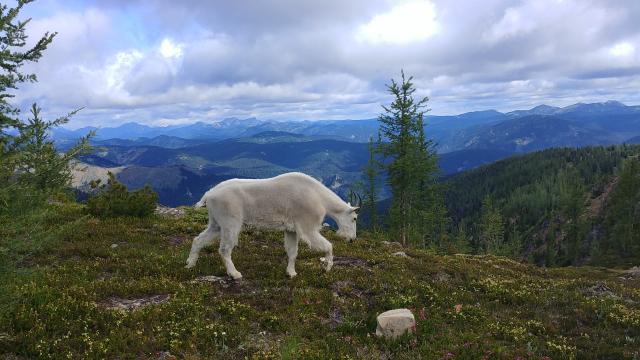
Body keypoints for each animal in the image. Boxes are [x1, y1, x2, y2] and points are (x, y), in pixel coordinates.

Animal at [186, 172, 360, 278]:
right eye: (354, 218)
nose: (352, 239)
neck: (319, 197)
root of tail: (209, 194)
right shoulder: (307, 227)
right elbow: (328, 245)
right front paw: (327, 267)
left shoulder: (291, 230)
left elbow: (293, 252)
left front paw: (291, 273)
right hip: (230, 222)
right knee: (224, 249)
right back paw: (234, 273)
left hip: (216, 223)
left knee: (199, 239)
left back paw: (190, 264)